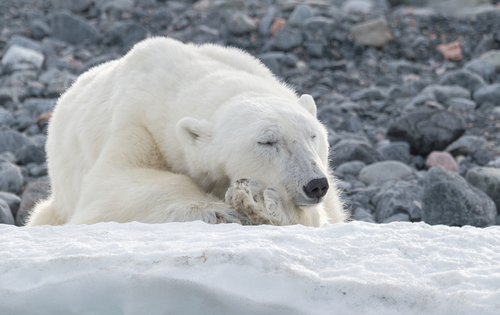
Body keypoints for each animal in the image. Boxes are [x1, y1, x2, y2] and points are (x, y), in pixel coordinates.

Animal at [26, 37, 348, 227]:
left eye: (313, 135)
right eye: (267, 141)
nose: (315, 184)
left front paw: (261, 201)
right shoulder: (136, 123)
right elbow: (111, 187)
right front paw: (219, 209)